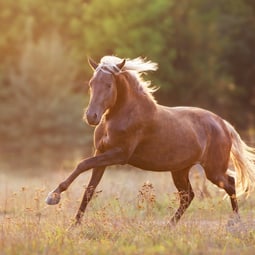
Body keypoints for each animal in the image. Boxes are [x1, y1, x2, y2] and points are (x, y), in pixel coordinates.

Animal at [45, 55, 255, 225]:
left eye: (109, 85)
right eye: (91, 83)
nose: (91, 117)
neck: (122, 114)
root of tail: (222, 124)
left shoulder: (118, 155)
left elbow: (81, 164)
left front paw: (53, 196)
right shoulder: (101, 153)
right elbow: (89, 189)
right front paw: (74, 224)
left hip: (213, 170)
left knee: (230, 183)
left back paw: (235, 222)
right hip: (180, 170)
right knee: (188, 196)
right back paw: (169, 225)